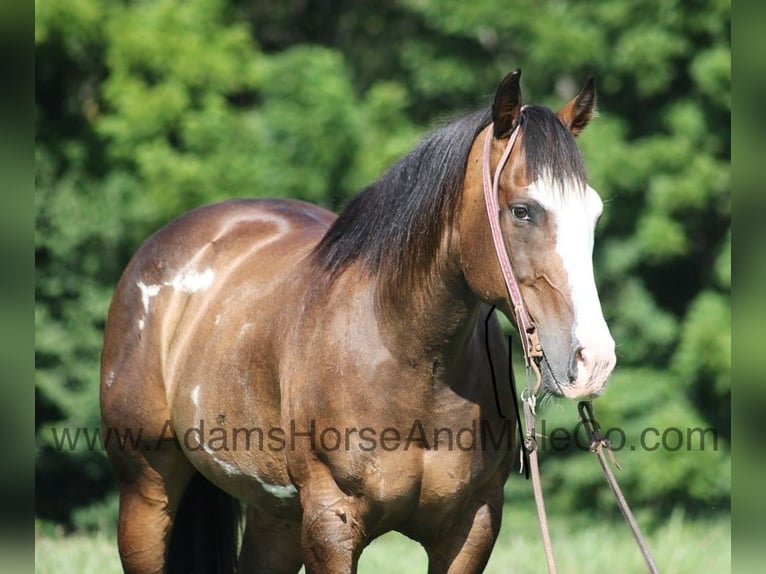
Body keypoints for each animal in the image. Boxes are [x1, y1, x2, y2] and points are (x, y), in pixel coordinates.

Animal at [100, 69, 616, 574]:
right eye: (522, 210)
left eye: (594, 214)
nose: (595, 360)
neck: (407, 357)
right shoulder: (331, 524)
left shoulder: (471, 527)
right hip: (146, 492)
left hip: (276, 515)